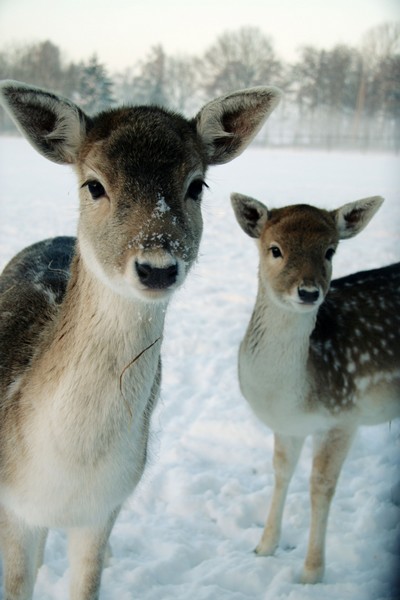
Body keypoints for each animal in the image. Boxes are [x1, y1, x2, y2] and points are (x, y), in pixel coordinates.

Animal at [230, 193, 398, 584]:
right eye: (275, 249)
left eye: (330, 251)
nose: (308, 292)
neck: (289, 395)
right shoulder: (287, 425)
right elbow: (281, 470)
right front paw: (264, 547)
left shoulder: (343, 416)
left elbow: (321, 486)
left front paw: (311, 573)